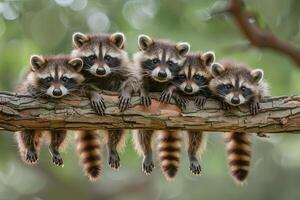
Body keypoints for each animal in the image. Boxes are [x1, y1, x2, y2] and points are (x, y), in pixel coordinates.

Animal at [71, 32, 130, 179]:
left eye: (108, 58)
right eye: (92, 57)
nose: (101, 70)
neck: (101, 77)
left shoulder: (123, 68)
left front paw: (127, 91)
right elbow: (83, 87)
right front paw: (93, 93)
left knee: (117, 128)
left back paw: (112, 145)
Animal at [128, 34, 190, 180]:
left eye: (170, 63)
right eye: (155, 61)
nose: (162, 74)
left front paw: (172, 90)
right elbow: (139, 80)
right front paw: (143, 89)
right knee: (142, 134)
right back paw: (147, 151)